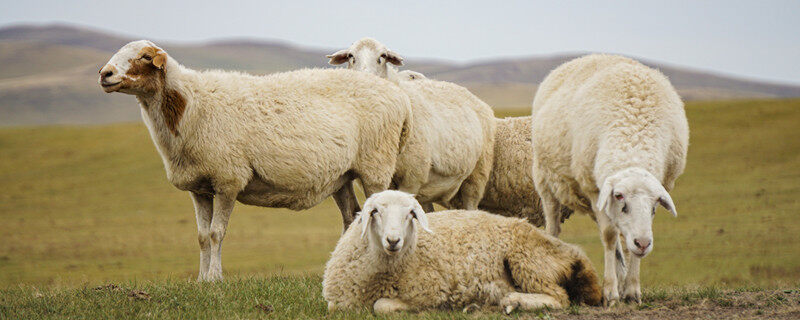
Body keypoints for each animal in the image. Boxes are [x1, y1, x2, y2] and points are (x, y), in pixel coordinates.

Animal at [97, 39, 424, 280]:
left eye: (143, 56)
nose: (104, 74)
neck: (188, 105)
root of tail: (399, 97)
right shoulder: (199, 187)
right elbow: (201, 236)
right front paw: (201, 280)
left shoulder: (227, 179)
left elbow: (216, 233)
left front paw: (215, 279)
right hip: (341, 176)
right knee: (351, 218)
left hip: (375, 167)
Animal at [322, 189, 604, 314]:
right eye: (375, 212)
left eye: (411, 214)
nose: (393, 240)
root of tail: (573, 253)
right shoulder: (338, 303)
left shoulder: (430, 292)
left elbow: (382, 305)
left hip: (527, 259)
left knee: (559, 298)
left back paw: (513, 301)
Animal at [532, 53, 688, 306]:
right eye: (619, 196)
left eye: (655, 203)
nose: (644, 244)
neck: (633, 138)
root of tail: (587, 56)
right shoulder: (595, 190)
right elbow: (609, 236)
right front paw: (610, 292)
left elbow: (627, 240)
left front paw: (631, 290)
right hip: (545, 182)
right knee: (553, 225)